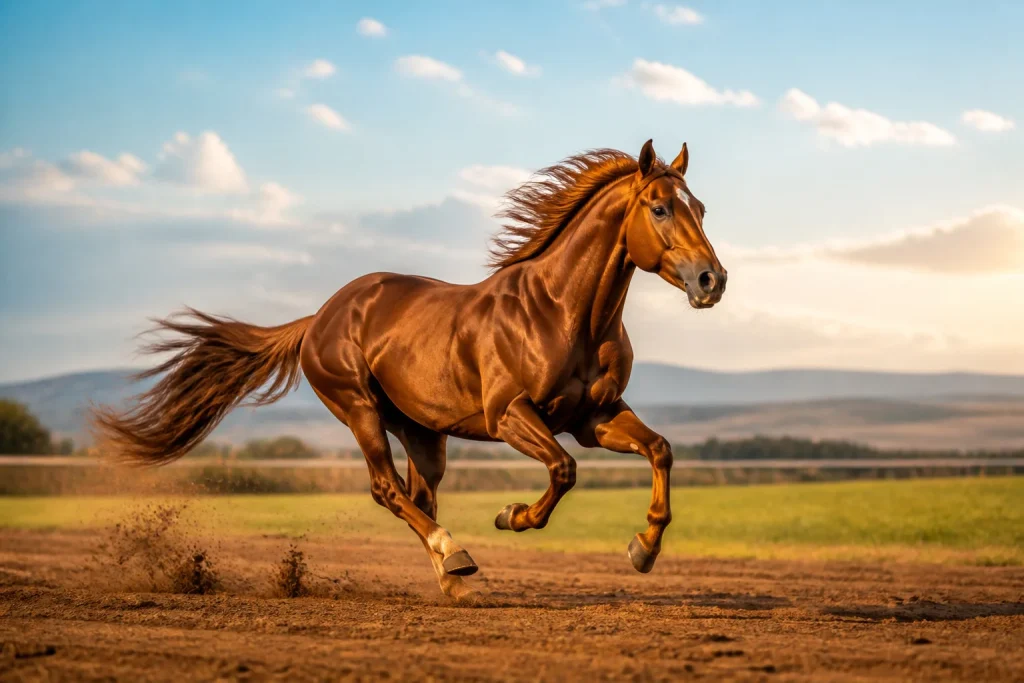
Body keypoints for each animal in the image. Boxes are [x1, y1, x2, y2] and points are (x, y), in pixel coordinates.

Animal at [92, 139, 727, 601]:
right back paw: (456, 554)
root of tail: (319, 317)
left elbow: (660, 449)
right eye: (659, 207)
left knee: (420, 495)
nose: (711, 280)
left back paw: (453, 574)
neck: (563, 311)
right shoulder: (509, 416)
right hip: (360, 411)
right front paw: (511, 516)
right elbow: (564, 471)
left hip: (424, 432)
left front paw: (643, 548)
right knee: (388, 490)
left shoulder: (593, 417)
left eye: (699, 207)